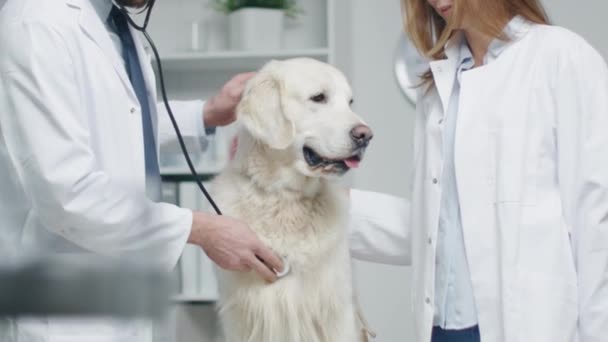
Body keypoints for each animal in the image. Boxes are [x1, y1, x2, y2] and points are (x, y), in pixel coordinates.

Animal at [213, 57, 376, 340]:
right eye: (319, 97)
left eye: (350, 102)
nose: (365, 135)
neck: (287, 199)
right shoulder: (242, 318)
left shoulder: (335, 313)